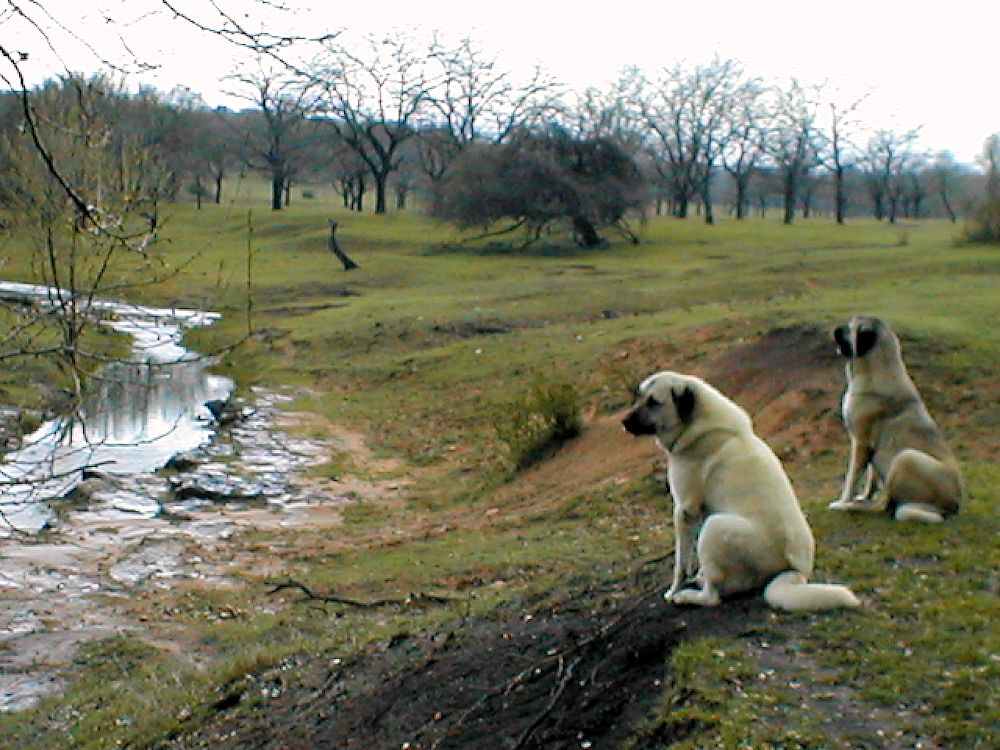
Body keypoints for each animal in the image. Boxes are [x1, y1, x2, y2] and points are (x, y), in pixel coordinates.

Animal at [620, 374, 856, 612]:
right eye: (639, 397)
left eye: (654, 402)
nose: (623, 421)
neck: (698, 424)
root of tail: (795, 570)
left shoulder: (685, 510)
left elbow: (680, 563)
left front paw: (673, 591)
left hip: (715, 526)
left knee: (713, 597)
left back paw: (688, 596)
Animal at [832, 316, 964, 524]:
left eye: (850, 328)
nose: (835, 330)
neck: (877, 368)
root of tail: (953, 506)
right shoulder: (870, 448)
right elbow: (871, 478)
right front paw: (864, 495)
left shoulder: (860, 443)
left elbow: (851, 478)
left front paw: (844, 500)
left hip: (906, 457)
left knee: (883, 505)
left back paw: (849, 507)